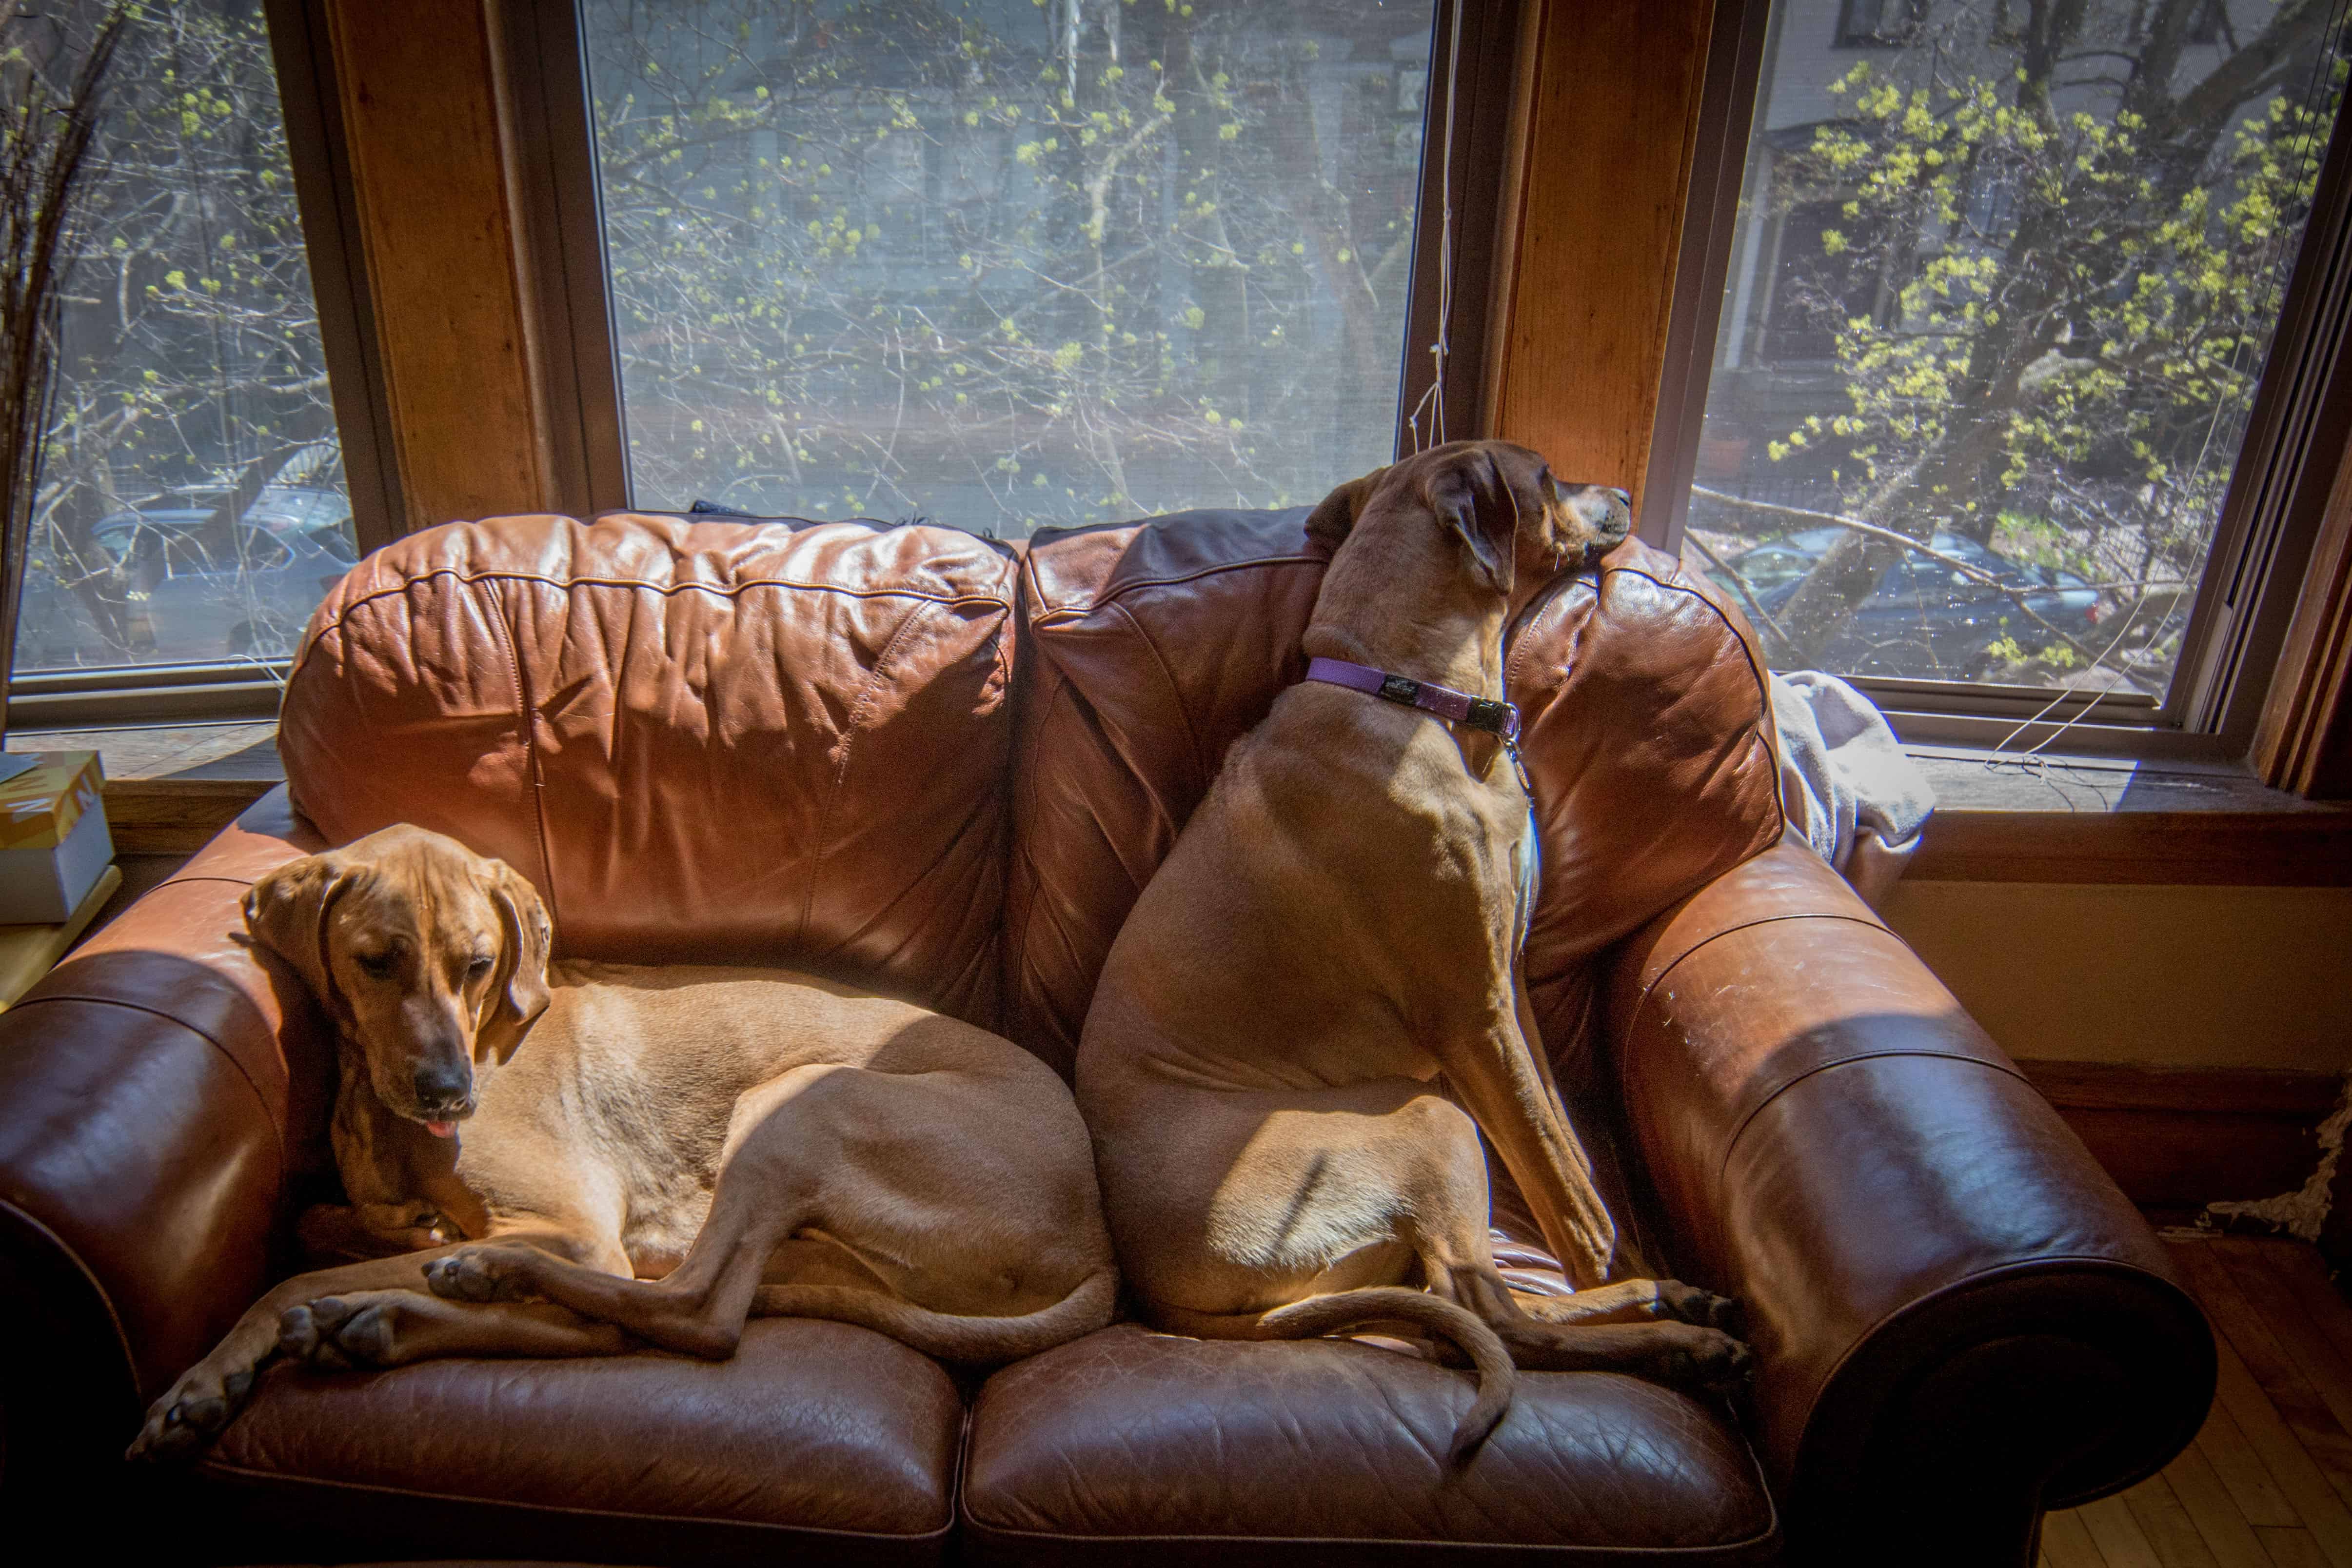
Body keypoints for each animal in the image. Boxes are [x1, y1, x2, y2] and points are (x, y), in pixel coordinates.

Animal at [131, 827, 1119, 1467]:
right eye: (377, 961)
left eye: (478, 963)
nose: (450, 1093)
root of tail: (1098, 1239)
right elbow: (331, 1229)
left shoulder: (573, 1227)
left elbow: (291, 1277)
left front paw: (203, 1377)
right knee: (641, 1314)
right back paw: (388, 1320)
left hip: (799, 1103)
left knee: (694, 1314)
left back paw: (449, 1290)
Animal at [1077, 439, 1759, 1457]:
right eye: (1546, 473)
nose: (1620, 494)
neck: (1410, 695)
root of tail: (1155, 1292)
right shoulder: (1474, 1019)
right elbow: (1563, 1188)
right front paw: (1605, 1257)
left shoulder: (1510, 994)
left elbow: (1565, 1147)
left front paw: (1624, 1252)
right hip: (1429, 1121)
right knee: (1490, 1318)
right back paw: (1672, 1335)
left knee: (1483, 1308)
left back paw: (1665, 1298)